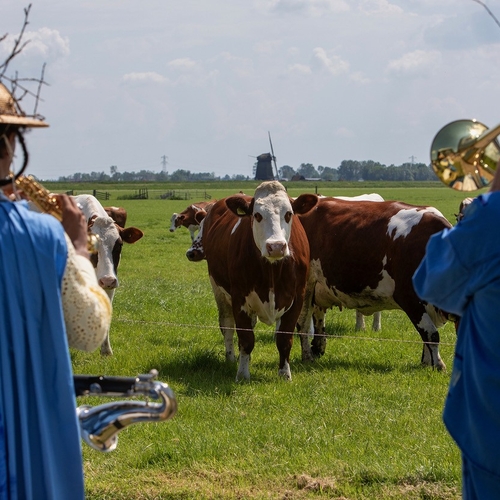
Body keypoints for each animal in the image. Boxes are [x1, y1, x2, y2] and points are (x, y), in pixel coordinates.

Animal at [197, 182, 314, 380]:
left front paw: (285, 373)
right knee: (227, 326)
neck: (272, 270)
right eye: (257, 215)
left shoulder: (297, 298)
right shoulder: (239, 298)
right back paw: (231, 358)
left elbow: (284, 338)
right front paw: (243, 374)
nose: (276, 246)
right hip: (218, 289)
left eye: (288, 214)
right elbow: (246, 338)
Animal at [294, 197, 456, 370]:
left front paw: (426, 362)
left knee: (318, 316)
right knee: (303, 323)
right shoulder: (409, 298)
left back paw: (318, 347)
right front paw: (438, 365)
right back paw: (307, 356)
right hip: (306, 286)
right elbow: (431, 334)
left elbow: (427, 335)